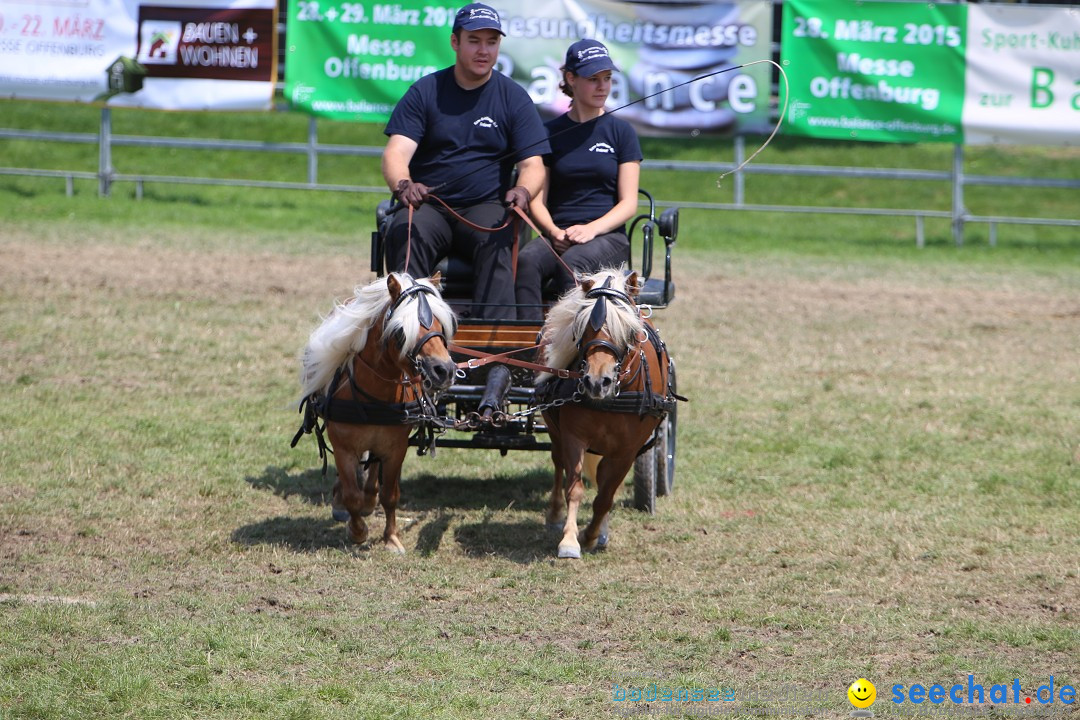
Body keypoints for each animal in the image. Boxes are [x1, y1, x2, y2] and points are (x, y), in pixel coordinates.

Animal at [298, 272, 457, 552]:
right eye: (401, 330)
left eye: (442, 324)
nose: (445, 370)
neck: (376, 395)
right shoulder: (343, 447)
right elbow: (352, 493)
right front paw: (357, 531)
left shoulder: (396, 448)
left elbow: (390, 494)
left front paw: (391, 538)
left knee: (373, 470)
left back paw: (370, 499)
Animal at [537, 267, 673, 561]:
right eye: (585, 327)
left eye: (628, 330)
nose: (597, 382)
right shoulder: (573, 436)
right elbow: (575, 488)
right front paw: (569, 540)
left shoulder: (628, 449)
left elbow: (606, 494)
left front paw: (590, 535)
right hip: (555, 430)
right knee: (558, 463)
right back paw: (555, 514)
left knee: (603, 481)